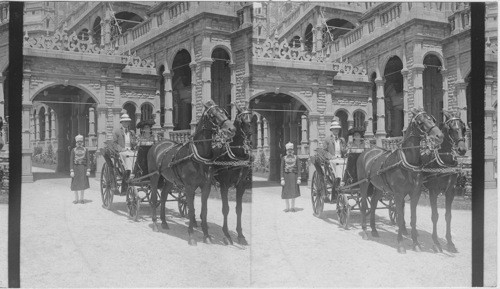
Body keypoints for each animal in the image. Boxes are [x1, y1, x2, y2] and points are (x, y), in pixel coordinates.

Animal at [146, 100, 236, 244]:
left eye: (224, 112)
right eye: (212, 115)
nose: (231, 129)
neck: (198, 156)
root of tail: (157, 144)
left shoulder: (206, 186)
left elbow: (204, 211)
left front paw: (206, 236)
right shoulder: (189, 187)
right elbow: (192, 209)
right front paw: (191, 236)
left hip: (169, 179)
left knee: (164, 196)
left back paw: (164, 222)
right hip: (154, 176)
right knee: (155, 198)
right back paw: (155, 223)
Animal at [213, 103, 254, 245]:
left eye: (253, 119)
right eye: (241, 121)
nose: (249, 140)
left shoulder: (241, 185)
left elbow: (239, 209)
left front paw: (240, 235)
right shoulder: (224, 185)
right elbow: (226, 208)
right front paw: (226, 234)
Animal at [356, 107, 446, 252]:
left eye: (432, 119)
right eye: (420, 122)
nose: (439, 136)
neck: (408, 162)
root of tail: (366, 152)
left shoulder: (415, 193)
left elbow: (413, 218)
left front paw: (415, 243)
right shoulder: (398, 194)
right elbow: (399, 217)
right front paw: (400, 244)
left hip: (379, 187)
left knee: (374, 204)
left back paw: (374, 230)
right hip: (364, 183)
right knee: (364, 205)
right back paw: (365, 231)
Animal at [422, 110, 468, 252]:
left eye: (463, 128)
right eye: (450, 128)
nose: (462, 150)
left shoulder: (450, 191)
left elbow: (448, 216)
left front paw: (450, 242)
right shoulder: (433, 191)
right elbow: (435, 215)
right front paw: (436, 241)